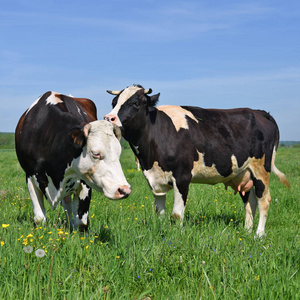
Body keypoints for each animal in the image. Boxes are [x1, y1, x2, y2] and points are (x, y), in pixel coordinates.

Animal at [15, 92, 130, 232]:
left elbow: (81, 222)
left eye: (119, 153)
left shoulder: (84, 182)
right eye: (95, 153)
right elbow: (39, 218)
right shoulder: (30, 176)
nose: (124, 190)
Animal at [104, 84, 290, 237]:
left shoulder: (182, 176)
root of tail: (260, 112)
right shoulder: (154, 179)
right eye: (114, 102)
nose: (108, 118)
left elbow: (177, 213)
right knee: (250, 202)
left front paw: (177, 236)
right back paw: (247, 230)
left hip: (261, 169)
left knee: (264, 200)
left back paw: (259, 234)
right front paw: (162, 230)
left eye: (135, 103)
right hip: (244, 173)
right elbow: (159, 212)